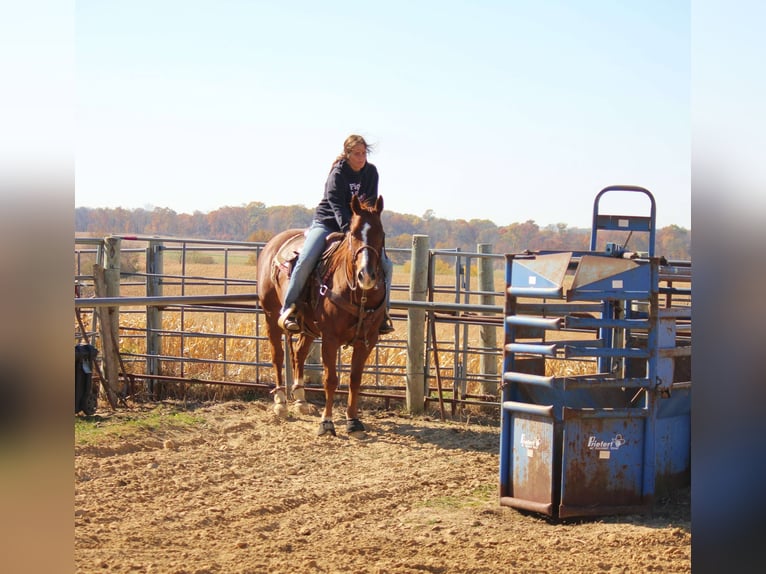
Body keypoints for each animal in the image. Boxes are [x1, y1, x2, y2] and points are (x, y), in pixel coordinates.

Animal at [258, 194, 390, 436]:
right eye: (353, 233)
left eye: (381, 233)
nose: (366, 275)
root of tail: (272, 244)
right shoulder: (330, 338)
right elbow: (330, 380)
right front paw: (327, 422)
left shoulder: (367, 340)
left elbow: (355, 379)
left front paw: (353, 421)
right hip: (271, 315)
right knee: (277, 355)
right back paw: (281, 401)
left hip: (308, 327)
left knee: (299, 354)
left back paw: (300, 399)